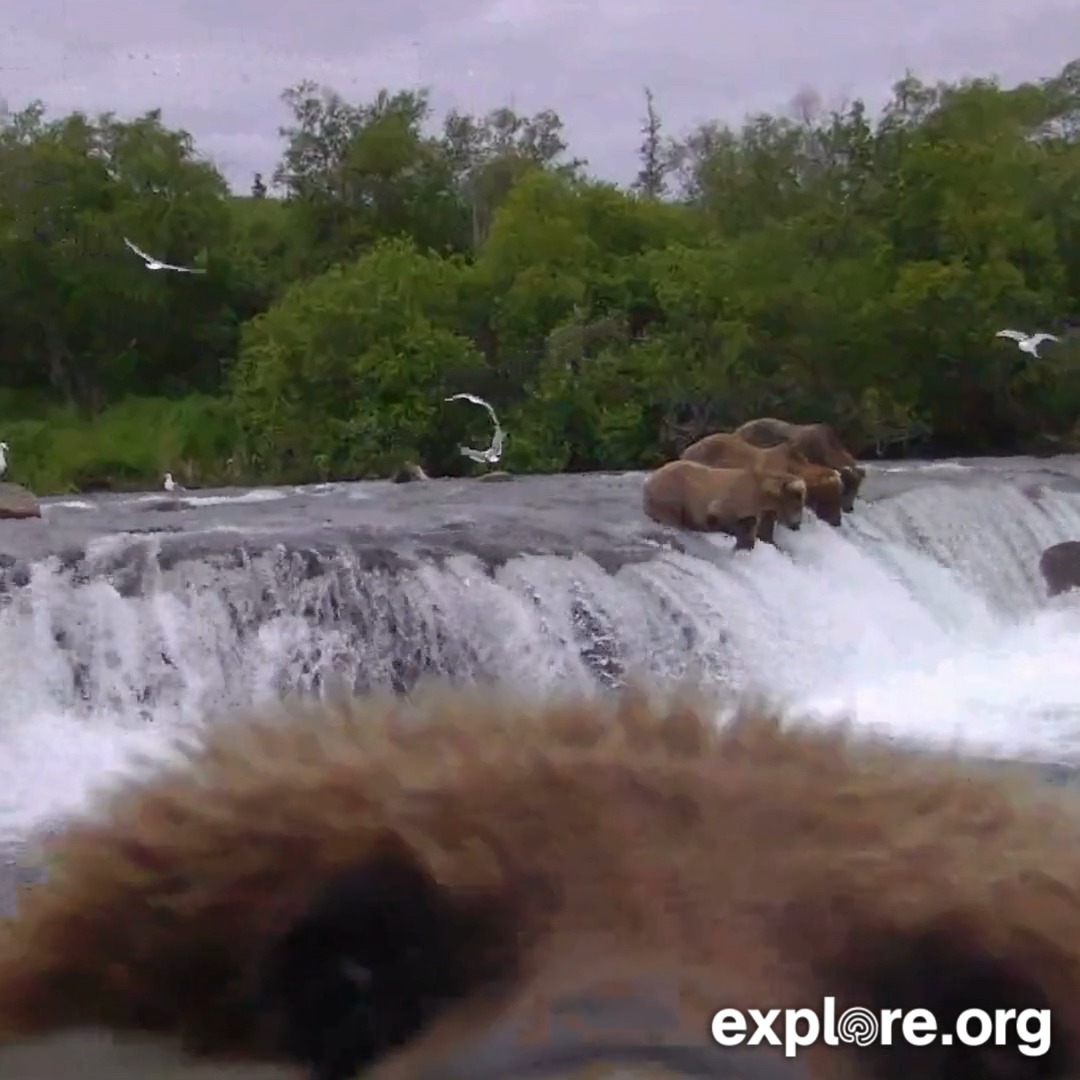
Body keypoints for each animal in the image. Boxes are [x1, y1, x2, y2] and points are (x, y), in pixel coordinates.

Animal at [642, 459, 806, 549]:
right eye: (797, 505)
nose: (797, 525)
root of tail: (650, 479)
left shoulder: (760, 510)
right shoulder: (736, 498)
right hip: (671, 493)